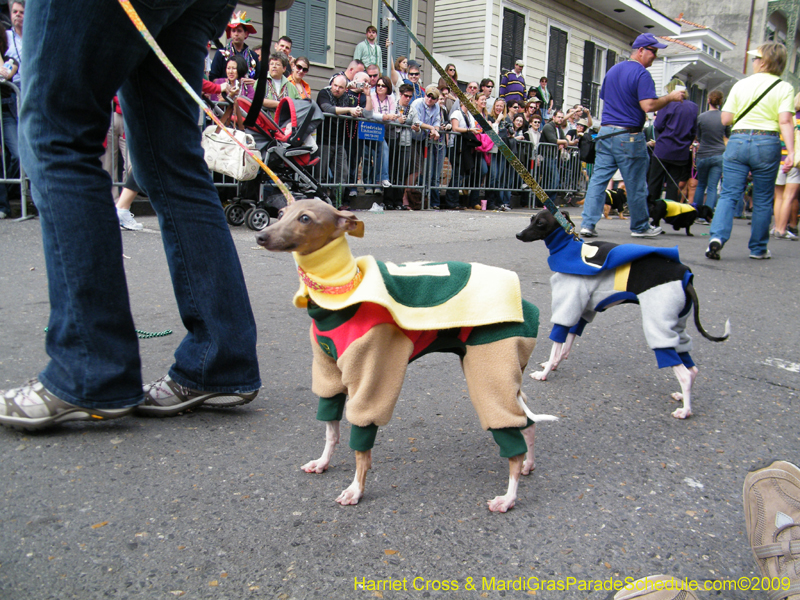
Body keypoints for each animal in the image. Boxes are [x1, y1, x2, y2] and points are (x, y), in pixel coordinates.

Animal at [256, 199, 556, 512]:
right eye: (281, 213)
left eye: (305, 218)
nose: (260, 236)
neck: (342, 292)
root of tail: (527, 306)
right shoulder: (328, 374)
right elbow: (331, 430)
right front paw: (323, 462)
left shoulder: (371, 376)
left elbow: (361, 445)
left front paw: (356, 489)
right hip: (506, 373)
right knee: (527, 423)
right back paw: (529, 464)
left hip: (490, 369)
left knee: (511, 437)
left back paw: (509, 496)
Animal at [516, 211, 728, 422]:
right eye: (531, 219)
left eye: (540, 223)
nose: (519, 235)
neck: (568, 247)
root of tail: (686, 278)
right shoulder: (582, 311)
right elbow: (566, 347)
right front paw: (553, 365)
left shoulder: (567, 306)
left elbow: (556, 346)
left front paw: (544, 373)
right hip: (677, 325)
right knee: (692, 368)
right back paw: (682, 397)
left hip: (658, 322)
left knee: (684, 373)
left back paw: (685, 410)